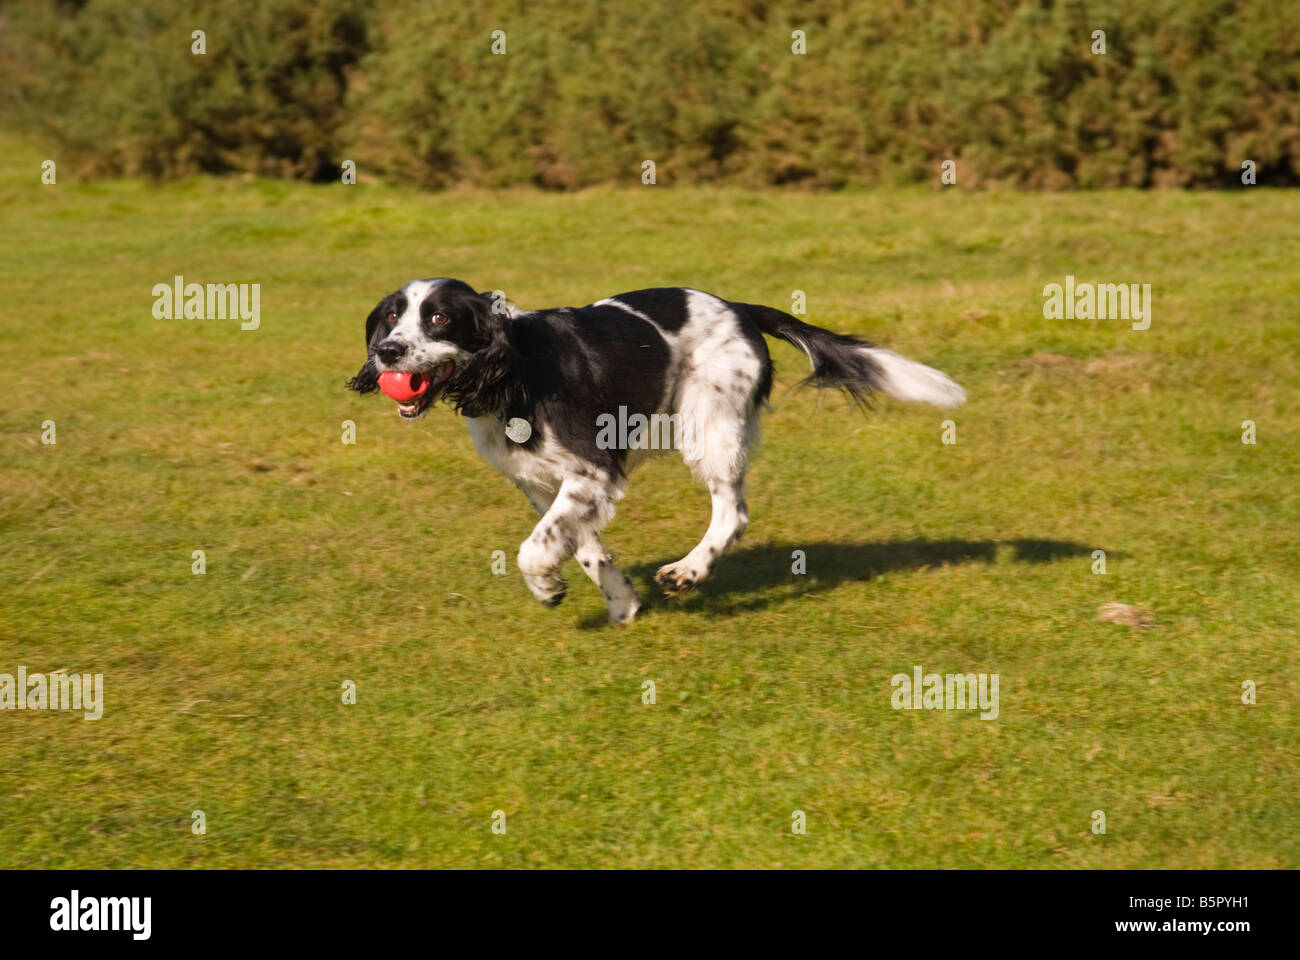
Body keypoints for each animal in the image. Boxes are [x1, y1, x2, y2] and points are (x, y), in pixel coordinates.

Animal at [348, 277, 967, 621]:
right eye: (390, 317)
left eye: (439, 317)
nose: (387, 351)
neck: (512, 370)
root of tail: (740, 307)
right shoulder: (543, 485)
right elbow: (584, 547)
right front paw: (623, 604)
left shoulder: (590, 471)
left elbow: (533, 548)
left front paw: (546, 587)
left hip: (708, 426)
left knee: (733, 511)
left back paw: (687, 573)